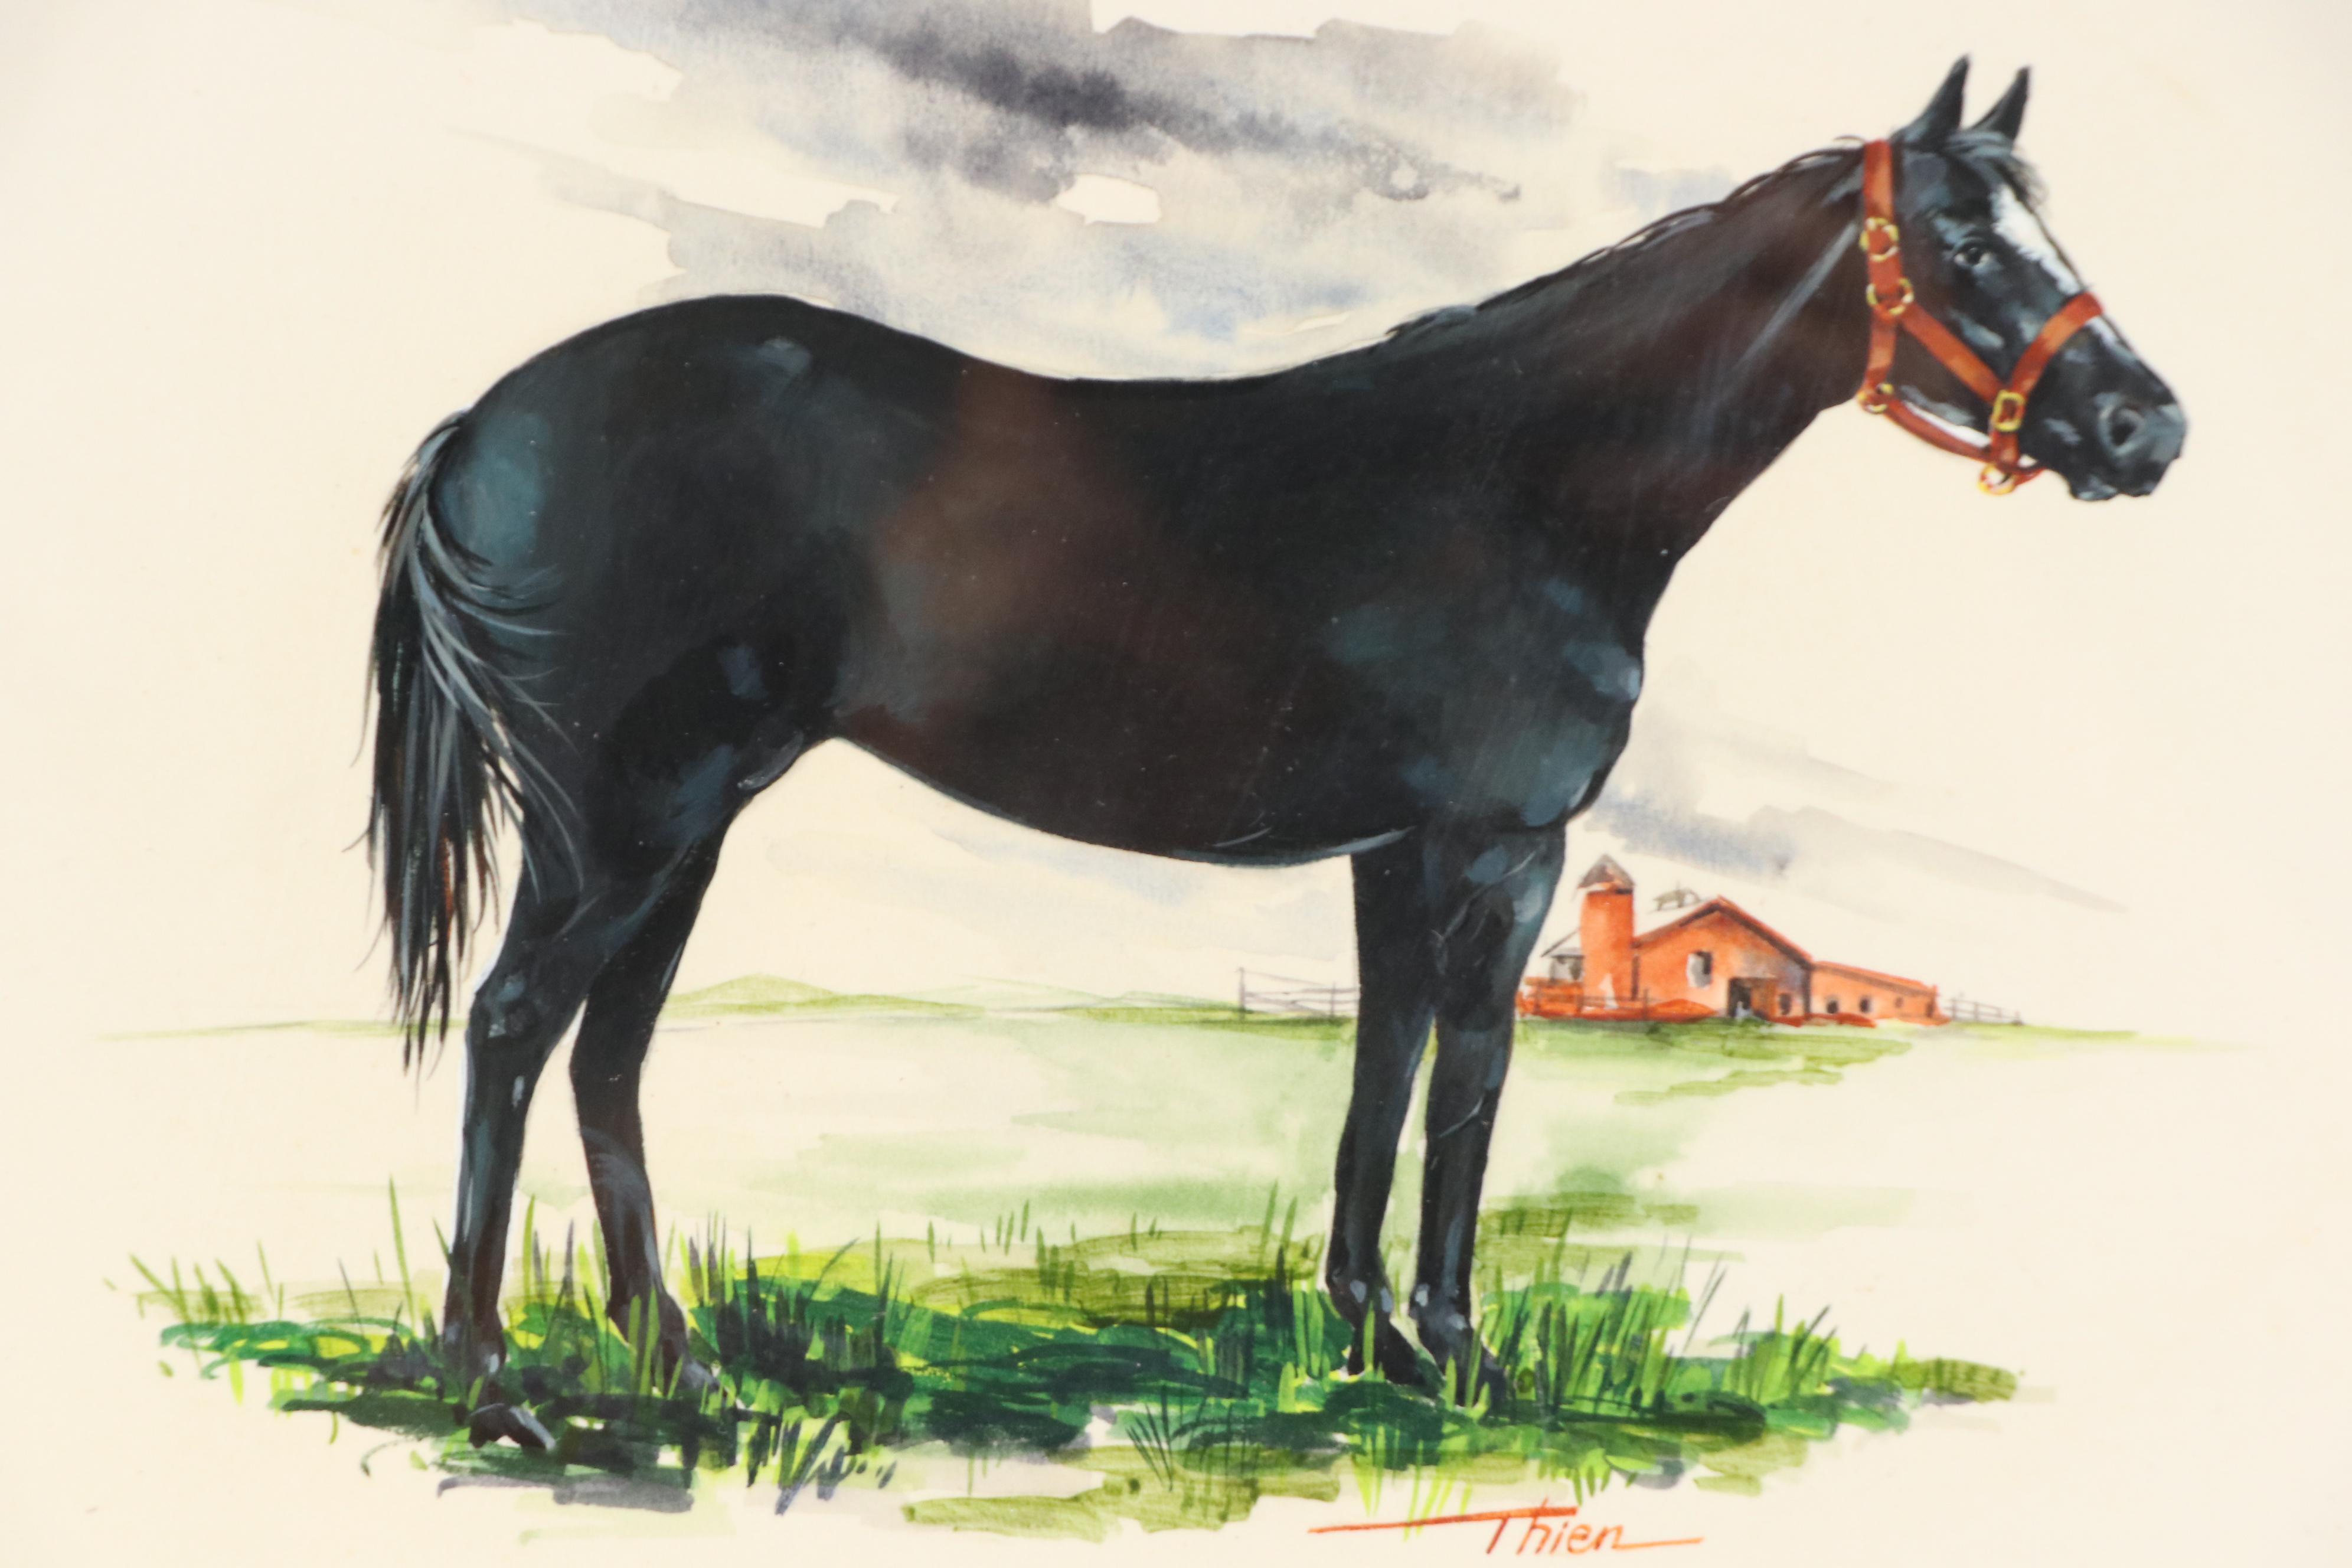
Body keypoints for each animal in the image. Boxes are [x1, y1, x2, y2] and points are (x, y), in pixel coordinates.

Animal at [368, 59, 2182, 1410]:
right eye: (1961, 242)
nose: (2144, 425)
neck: (1519, 477)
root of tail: (489, 422)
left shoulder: (1392, 852)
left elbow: (1381, 1076)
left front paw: (1368, 1332)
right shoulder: (1499, 850)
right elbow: (1473, 1078)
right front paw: (1460, 1353)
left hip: (687, 824)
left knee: (606, 1052)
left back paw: (671, 1359)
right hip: (627, 819)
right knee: (518, 1028)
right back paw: (491, 1372)